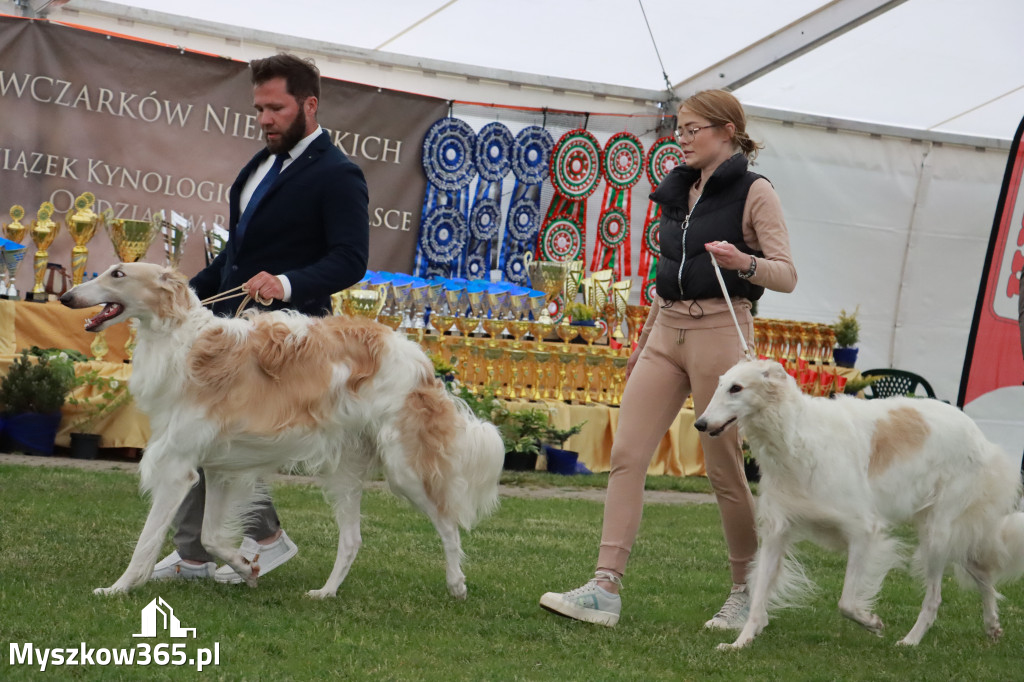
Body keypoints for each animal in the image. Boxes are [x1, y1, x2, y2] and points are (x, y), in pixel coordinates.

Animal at [59, 262, 503, 598]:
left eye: (118, 273)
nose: (66, 298)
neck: (182, 342)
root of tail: (422, 361)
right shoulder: (220, 468)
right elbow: (211, 536)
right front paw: (245, 567)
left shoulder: (177, 467)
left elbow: (147, 542)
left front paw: (118, 589)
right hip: (343, 471)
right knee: (353, 540)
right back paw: (325, 592)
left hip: (404, 469)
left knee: (448, 524)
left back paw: (457, 585)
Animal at [692, 358, 1024, 647]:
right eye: (719, 385)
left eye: (736, 388)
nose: (700, 424)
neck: (797, 439)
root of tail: (977, 433)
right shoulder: (777, 530)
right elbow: (760, 594)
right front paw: (740, 642)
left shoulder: (864, 530)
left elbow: (846, 602)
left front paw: (871, 622)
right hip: (944, 529)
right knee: (982, 572)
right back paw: (992, 626)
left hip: (938, 532)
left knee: (935, 598)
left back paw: (911, 640)